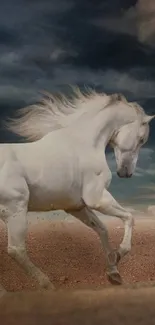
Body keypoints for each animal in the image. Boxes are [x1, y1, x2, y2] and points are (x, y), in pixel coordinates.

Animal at [0, 86, 153, 294]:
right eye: (141, 138)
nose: (126, 173)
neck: (85, 143)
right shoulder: (97, 198)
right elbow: (130, 217)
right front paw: (119, 254)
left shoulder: (76, 207)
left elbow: (102, 229)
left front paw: (113, 272)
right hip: (16, 210)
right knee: (16, 250)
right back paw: (47, 285)